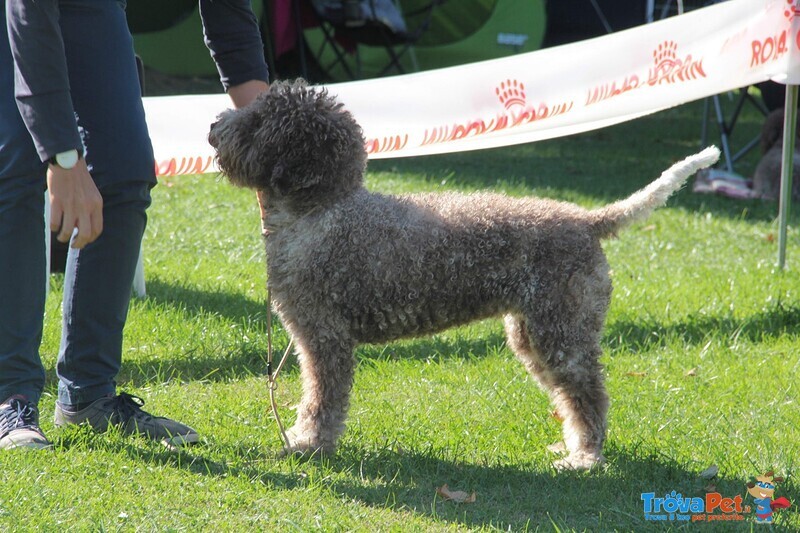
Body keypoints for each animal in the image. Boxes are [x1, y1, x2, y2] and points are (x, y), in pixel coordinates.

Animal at [209, 77, 720, 468]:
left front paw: (309, 444)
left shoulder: (324, 339)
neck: (324, 208)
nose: (214, 128)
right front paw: (305, 440)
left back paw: (585, 458)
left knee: (588, 394)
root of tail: (587, 219)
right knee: (571, 396)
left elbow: (321, 400)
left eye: (258, 122)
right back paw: (573, 447)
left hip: (563, 333)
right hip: (531, 335)